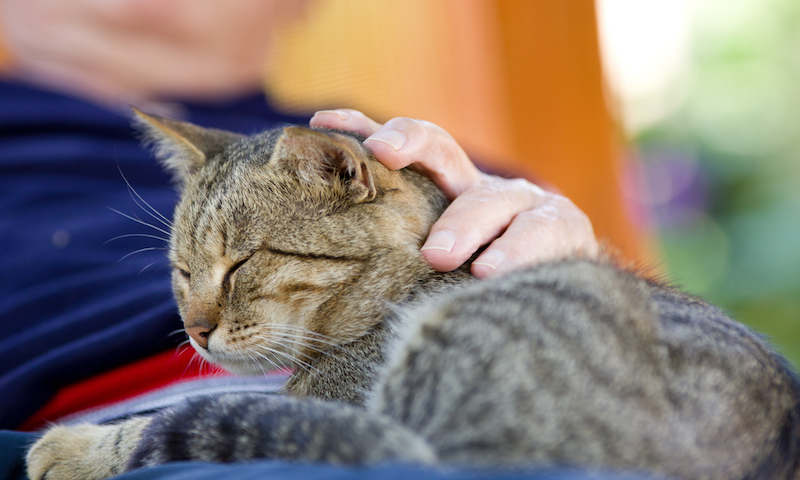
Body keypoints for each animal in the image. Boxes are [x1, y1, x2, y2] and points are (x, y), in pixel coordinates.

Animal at [25, 110, 800, 480]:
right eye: (183, 271)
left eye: (241, 262)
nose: (194, 329)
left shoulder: (335, 403)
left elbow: (163, 423)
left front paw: (71, 447)